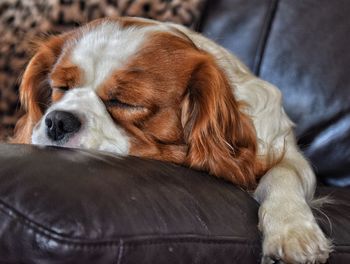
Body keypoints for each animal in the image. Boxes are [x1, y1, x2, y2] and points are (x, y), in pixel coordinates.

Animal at [12, 17, 332, 262]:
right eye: (61, 87)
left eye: (125, 102)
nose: (57, 121)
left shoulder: (284, 151)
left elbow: (283, 175)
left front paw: (292, 230)